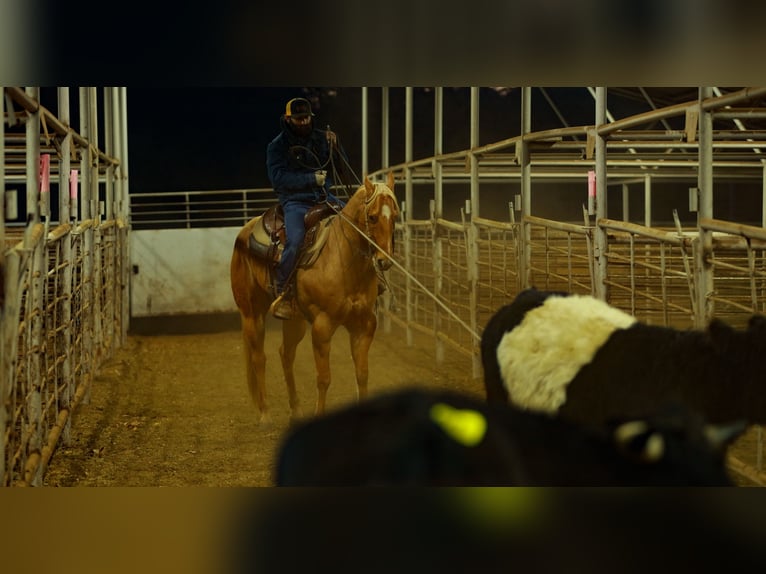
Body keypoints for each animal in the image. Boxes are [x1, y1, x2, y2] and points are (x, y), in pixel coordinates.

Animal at [230, 172, 399, 425]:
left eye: (395, 216)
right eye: (372, 216)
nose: (384, 261)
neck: (341, 259)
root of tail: (245, 232)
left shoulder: (364, 325)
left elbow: (362, 374)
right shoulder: (322, 326)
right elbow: (324, 378)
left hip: (295, 320)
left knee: (285, 354)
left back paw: (296, 409)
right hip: (251, 313)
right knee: (259, 358)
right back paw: (265, 414)